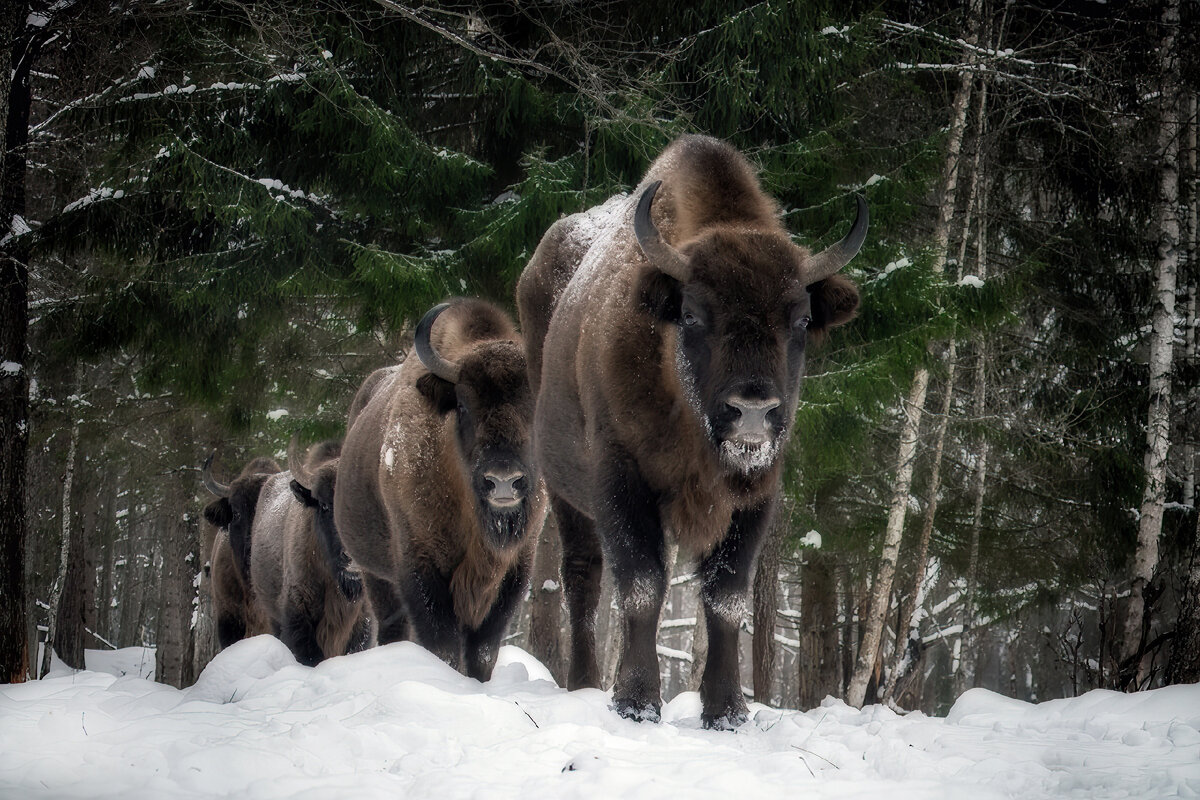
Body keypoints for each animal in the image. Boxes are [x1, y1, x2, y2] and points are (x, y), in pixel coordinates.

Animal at [336, 299, 547, 681]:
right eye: (462, 405)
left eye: (534, 405)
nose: (503, 480)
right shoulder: (421, 565)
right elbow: (443, 646)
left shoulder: (514, 569)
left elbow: (483, 651)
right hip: (375, 576)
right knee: (392, 628)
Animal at [516, 134, 864, 729]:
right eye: (696, 314)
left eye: (799, 319)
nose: (753, 410)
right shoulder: (621, 481)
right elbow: (641, 586)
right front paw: (635, 702)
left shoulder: (757, 493)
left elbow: (725, 596)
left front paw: (727, 710)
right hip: (564, 491)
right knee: (582, 577)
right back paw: (583, 682)